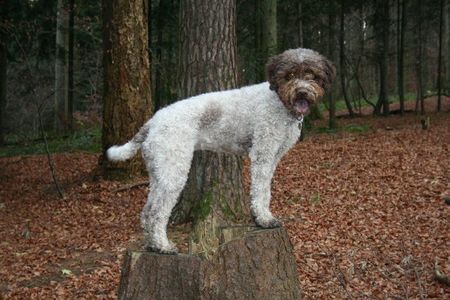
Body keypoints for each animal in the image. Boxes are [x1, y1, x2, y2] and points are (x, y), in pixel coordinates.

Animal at [107, 47, 336, 253]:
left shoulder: (273, 157)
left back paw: (152, 245)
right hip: (174, 171)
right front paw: (264, 219)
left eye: (312, 75)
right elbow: (261, 191)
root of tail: (152, 122)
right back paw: (163, 246)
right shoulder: (263, 154)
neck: (279, 102)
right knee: (156, 212)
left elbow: (266, 191)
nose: (302, 92)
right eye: (290, 75)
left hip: (159, 172)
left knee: (146, 211)